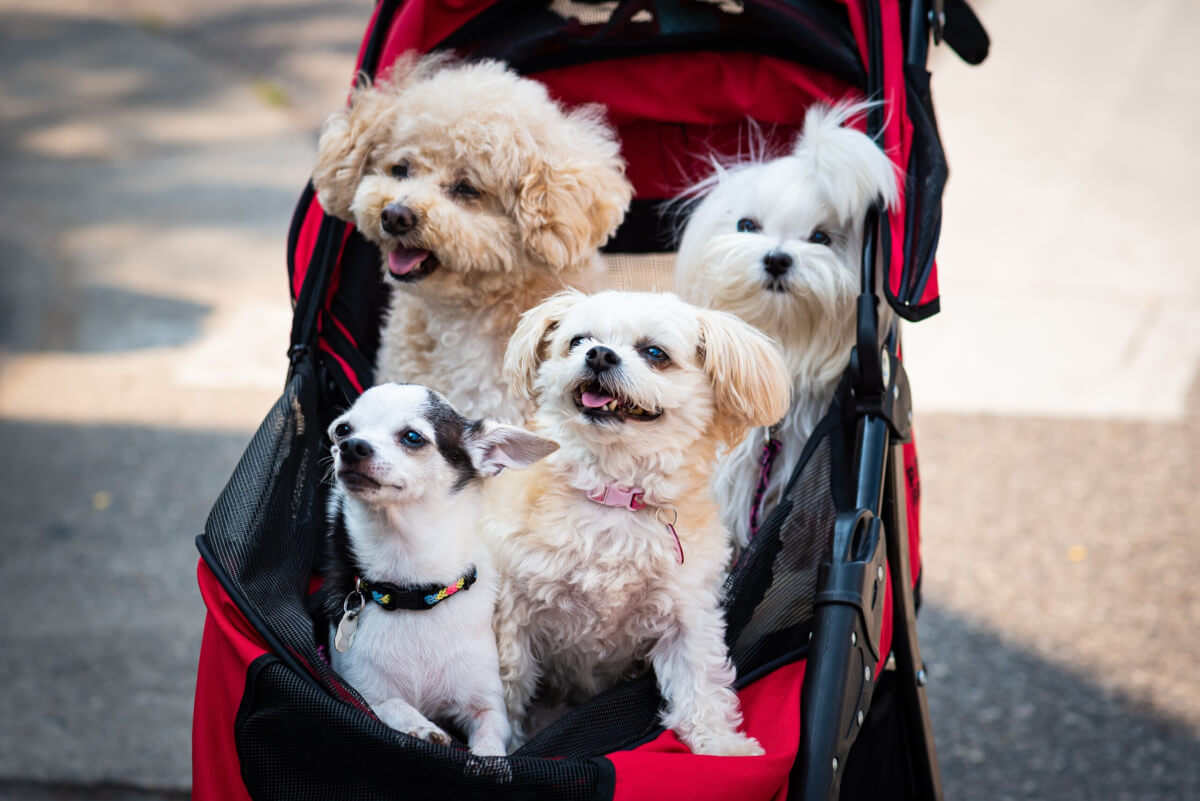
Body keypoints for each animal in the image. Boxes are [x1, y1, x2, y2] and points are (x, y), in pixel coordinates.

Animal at [324, 383, 556, 753]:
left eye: (412, 437)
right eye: (342, 429)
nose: (351, 446)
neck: (412, 592)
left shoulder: (488, 709)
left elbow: (491, 743)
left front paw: (487, 759)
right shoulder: (358, 693)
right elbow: (391, 705)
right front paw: (421, 727)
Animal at [482, 288, 792, 757]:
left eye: (655, 353)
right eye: (578, 341)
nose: (599, 355)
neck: (611, 496)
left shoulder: (688, 615)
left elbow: (700, 683)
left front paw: (721, 746)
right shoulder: (514, 613)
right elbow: (508, 686)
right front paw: (497, 749)